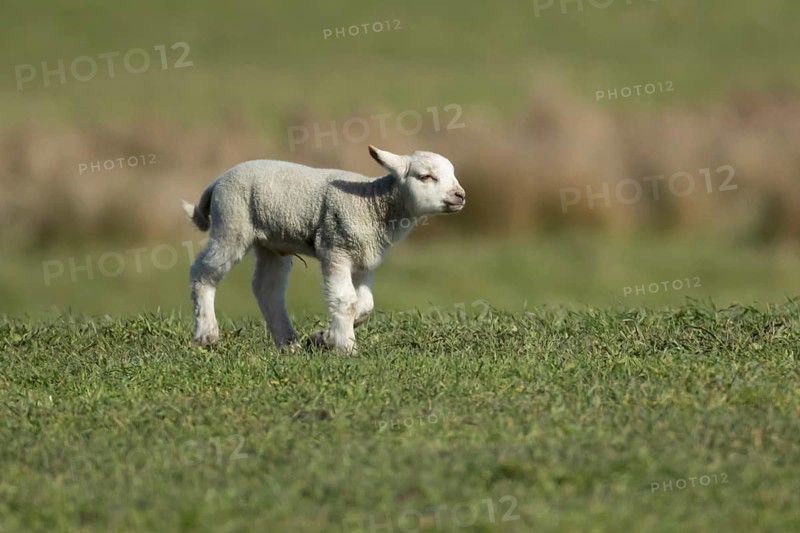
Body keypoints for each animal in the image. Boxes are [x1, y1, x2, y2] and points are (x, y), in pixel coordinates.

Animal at [181, 145, 466, 352]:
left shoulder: (365, 259)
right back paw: (207, 334)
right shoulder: (336, 249)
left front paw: (324, 337)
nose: (460, 195)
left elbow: (365, 305)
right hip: (231, 225)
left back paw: (288, 343)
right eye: (426, 176)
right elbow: (345, 301)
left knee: (267, 289)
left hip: (271, 242)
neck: (374, 204)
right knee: (203, 272)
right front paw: (345, 347)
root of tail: (218, 180)